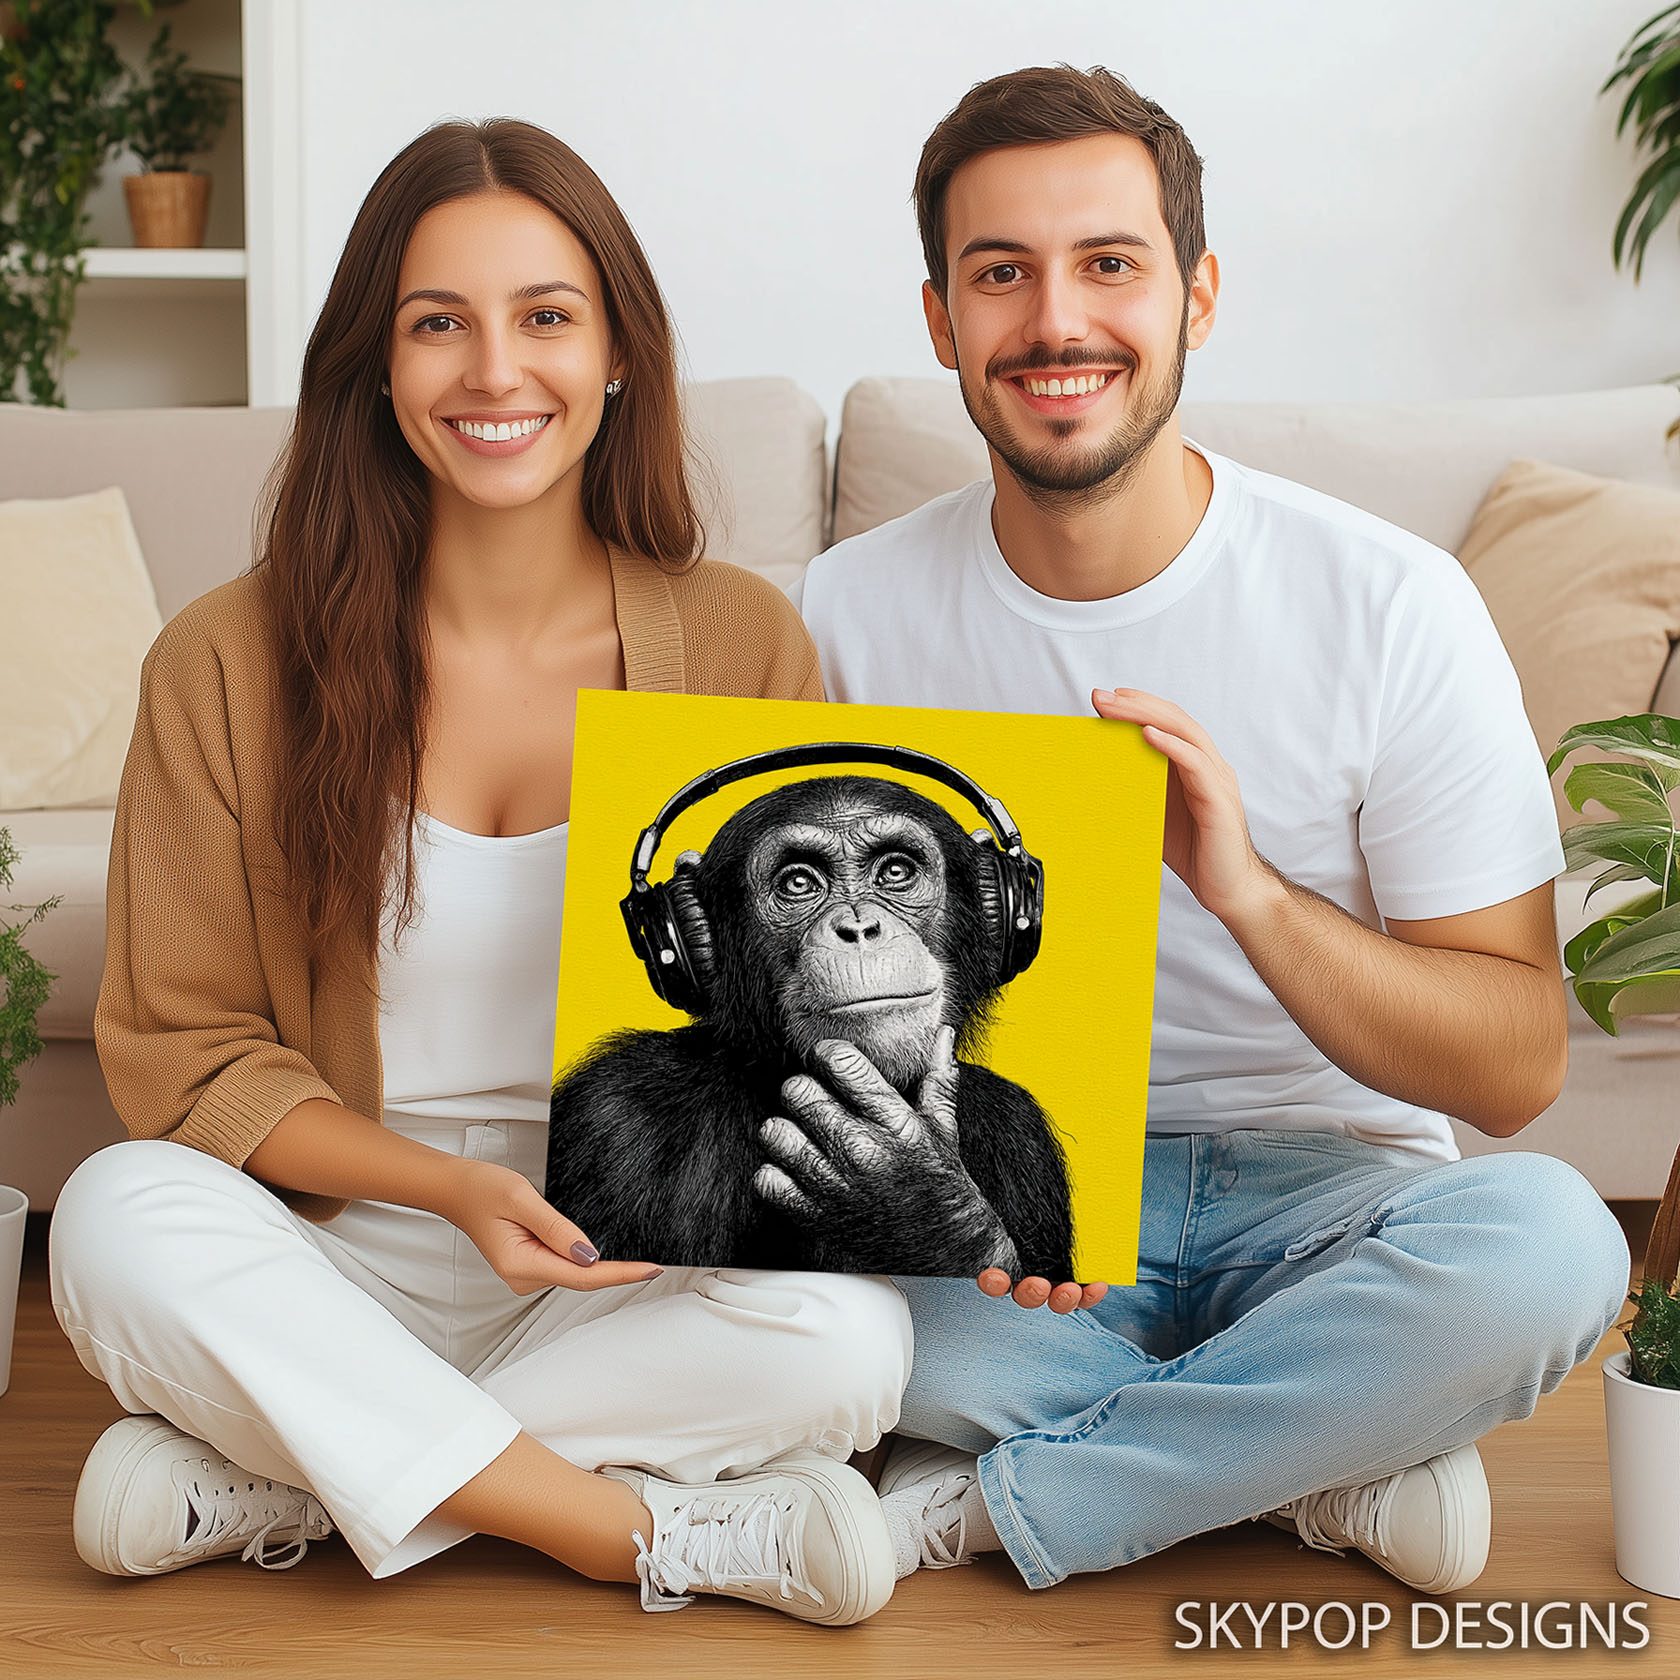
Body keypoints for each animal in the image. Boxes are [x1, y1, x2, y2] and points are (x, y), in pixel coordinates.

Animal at [546, 773, 1074, 1278]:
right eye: (798, 883)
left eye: (896, 871)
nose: (859, 928)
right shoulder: (608, 1113)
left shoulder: (1023, 1134)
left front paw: (910, 1197)